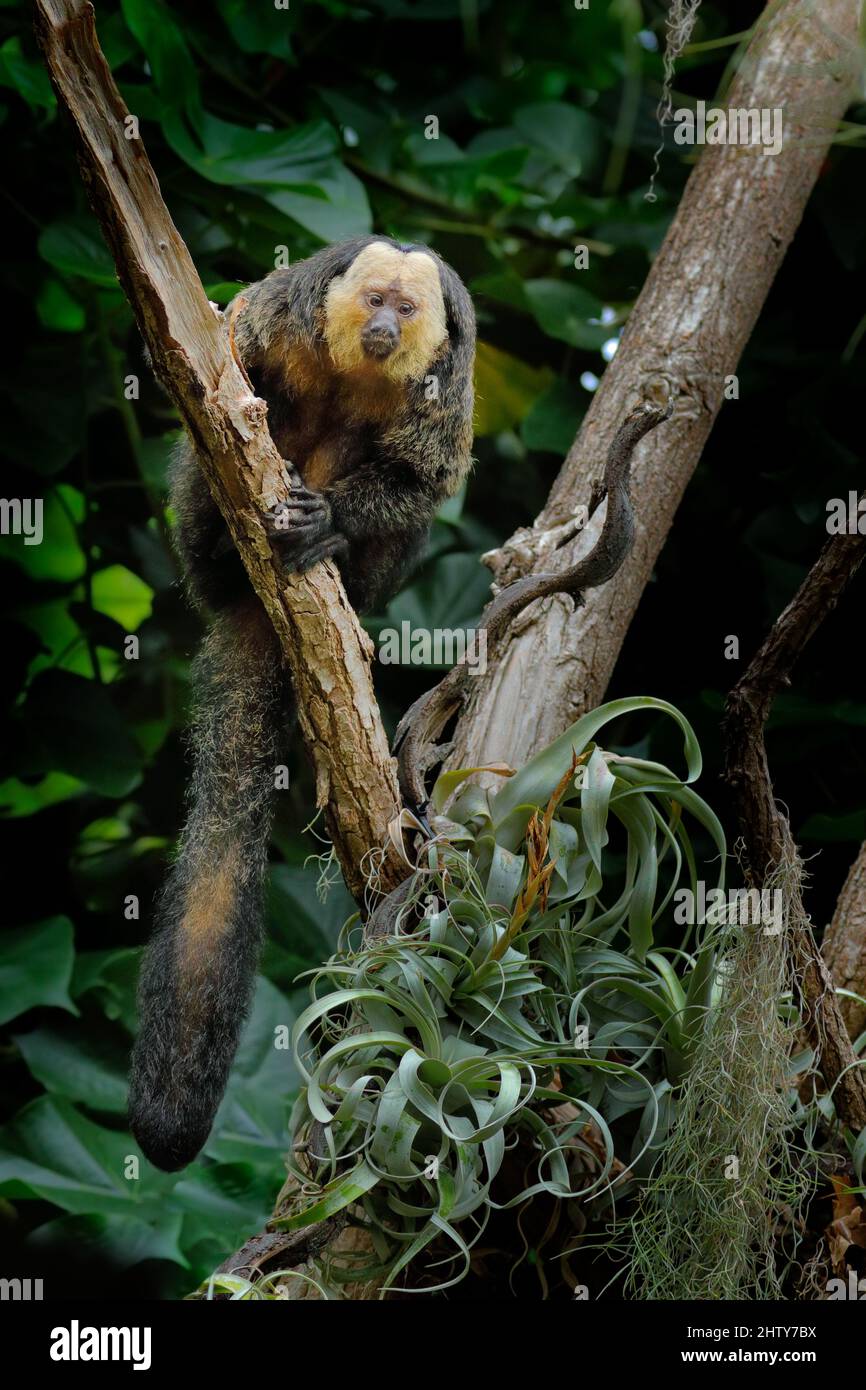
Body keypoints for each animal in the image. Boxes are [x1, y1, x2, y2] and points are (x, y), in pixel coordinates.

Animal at [127, 236, 475, 1173]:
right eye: (375, 298)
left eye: (407, 308)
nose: (387, 324)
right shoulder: (283, 313)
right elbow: (217, 361)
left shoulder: (450, 380)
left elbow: (419, 479)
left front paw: (335, 521)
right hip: (203, 543)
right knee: (202, 485)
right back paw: (220, 546)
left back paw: (334, 559)